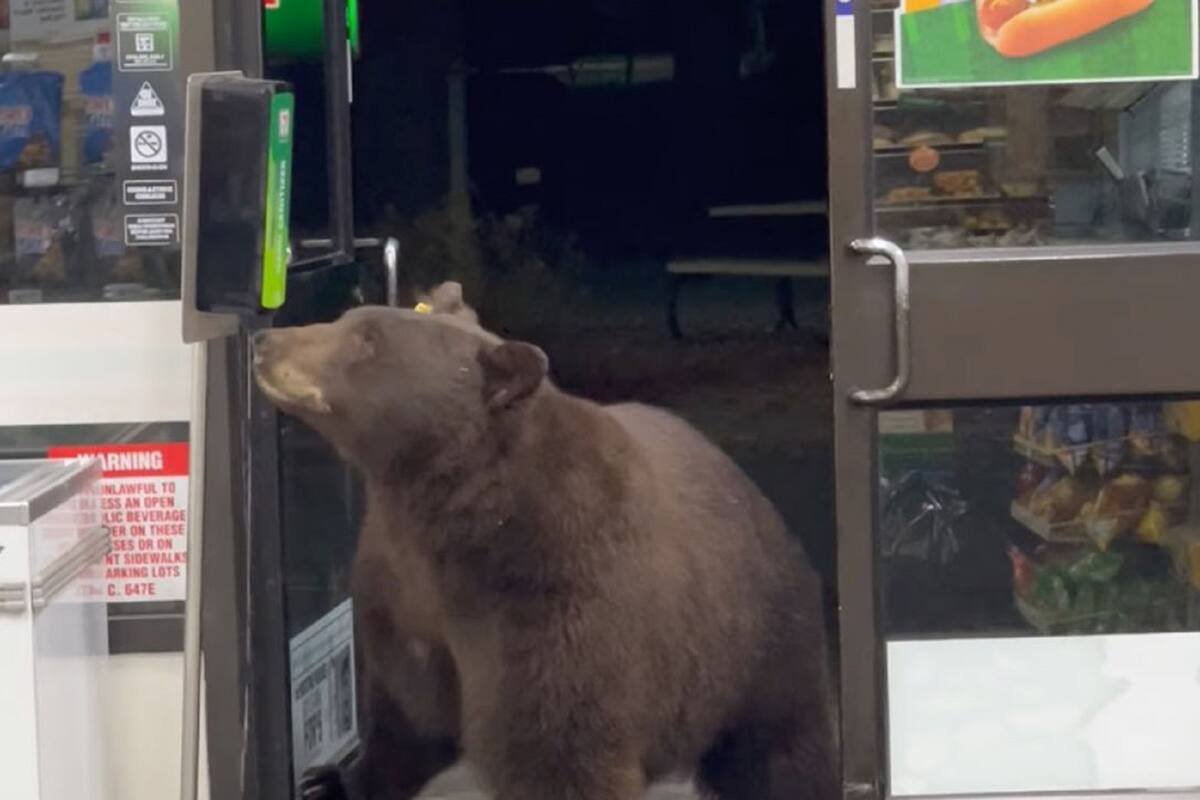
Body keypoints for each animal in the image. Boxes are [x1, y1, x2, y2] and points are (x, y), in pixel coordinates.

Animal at [252, 298, 836, 800]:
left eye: (368, 339)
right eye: (349, 317)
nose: (265, 341)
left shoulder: (553, 599)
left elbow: (557, 751)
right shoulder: (400, 596)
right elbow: (407, 717)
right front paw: (326, 782)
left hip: (756, 644)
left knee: (775, 755)